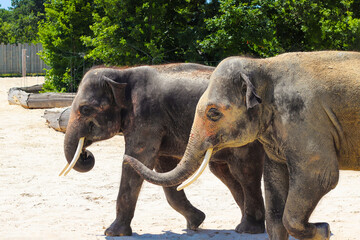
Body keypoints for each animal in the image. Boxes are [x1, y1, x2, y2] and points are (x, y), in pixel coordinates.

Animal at [60, 62, 266, 236]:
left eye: (85, 109)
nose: (86, 154)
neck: (122, 72)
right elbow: (164, 168)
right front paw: (195, 222)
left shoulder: (146, 117)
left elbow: (139, 161)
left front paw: (112, 233)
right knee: (224, 172)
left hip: (245, 137)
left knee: (244, 171)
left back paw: (249, 229)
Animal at [125, 51, 360, 240]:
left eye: (213, 113)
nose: (126, 158)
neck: (263, 65)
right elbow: (275, 185)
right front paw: (321, 229)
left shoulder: (303, 118)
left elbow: (320, 176)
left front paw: (323, 230)